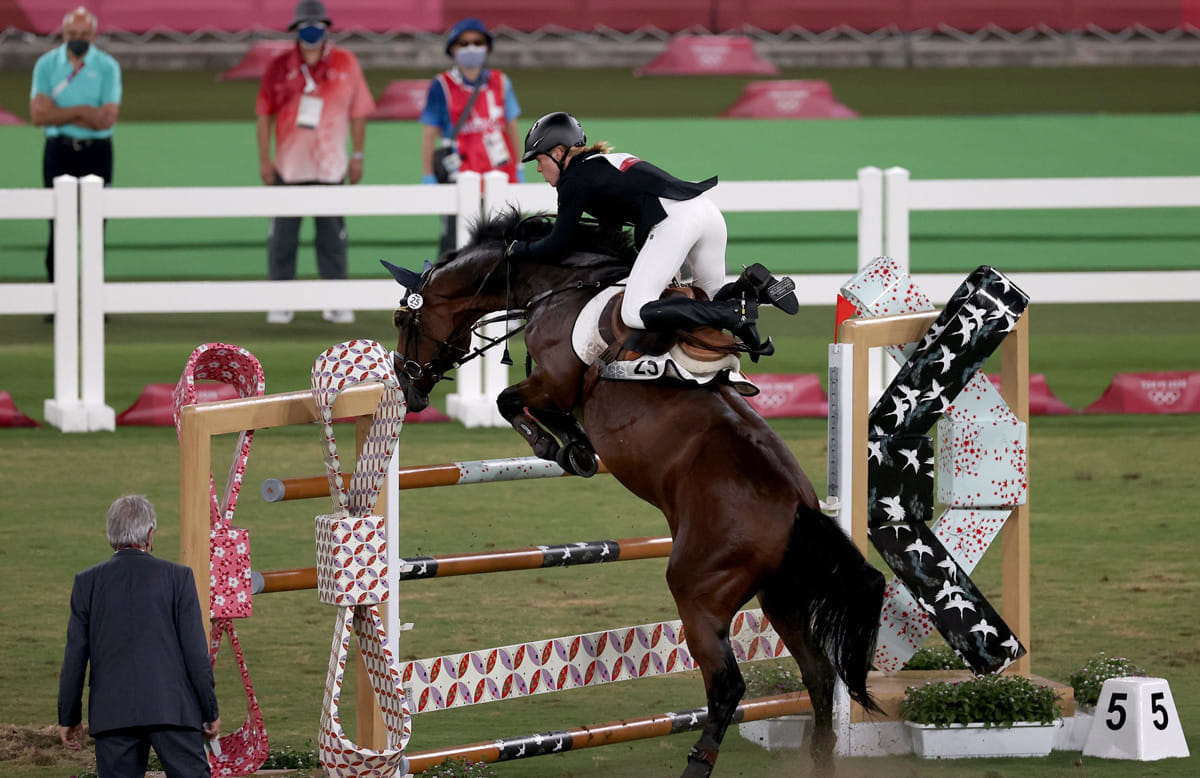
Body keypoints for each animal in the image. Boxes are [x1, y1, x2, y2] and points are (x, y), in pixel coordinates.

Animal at [384, 210, 884, 777]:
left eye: (404, 321)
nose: (408, 387)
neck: (558, 287)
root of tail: (800, 508)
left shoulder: (555, 383)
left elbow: (510, 400)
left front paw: (565, 447)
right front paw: (572, 446)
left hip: (699, 593)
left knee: (727, 685)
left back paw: (697, 764)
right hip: (781, 597)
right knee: (819, 675)